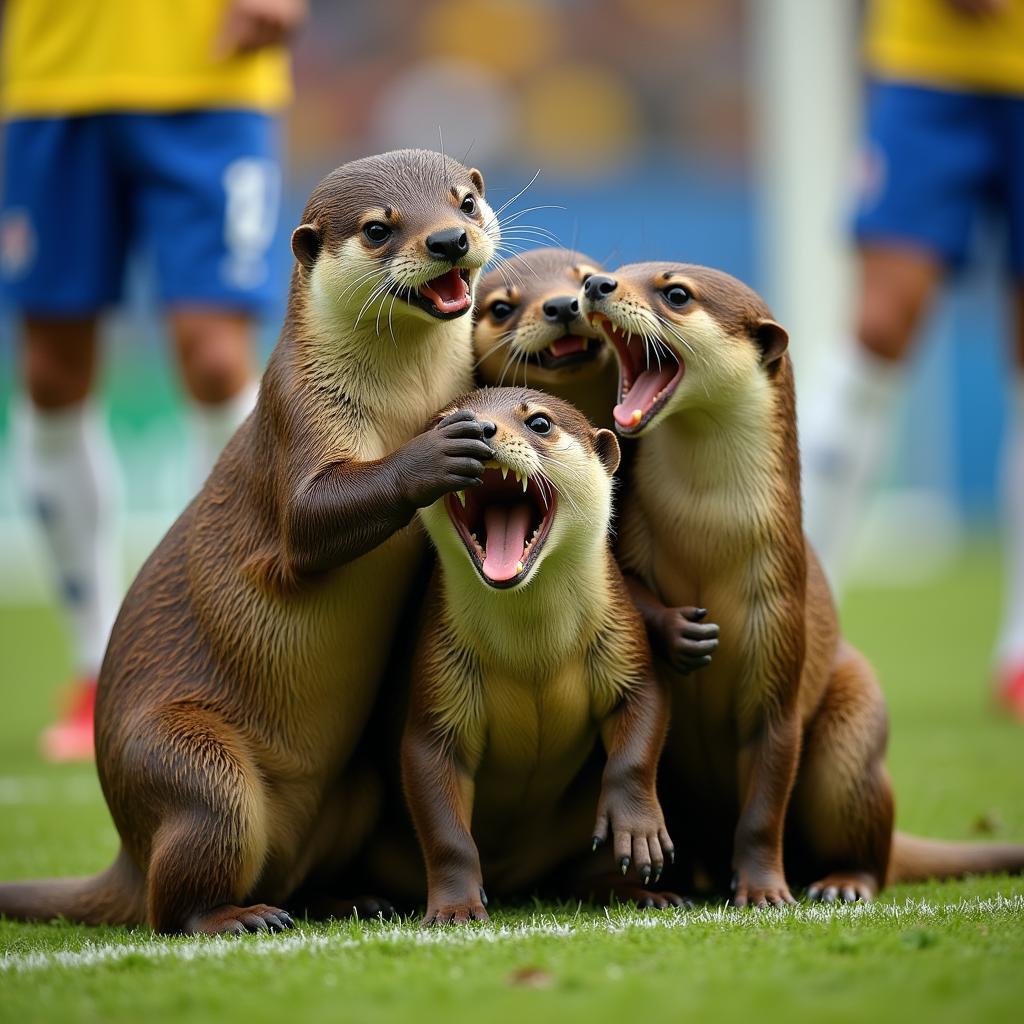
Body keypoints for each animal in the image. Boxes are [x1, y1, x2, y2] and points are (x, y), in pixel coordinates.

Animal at [0, 151, 503, 937]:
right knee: (169, 902)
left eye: (466, 201)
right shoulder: (299, 414)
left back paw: (350, 898)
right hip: (196, 772)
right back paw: (234, 918)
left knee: (294, 872)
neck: (407, 401)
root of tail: (128, 846)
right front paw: (435, 452)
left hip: (354, 789)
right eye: (379, 228)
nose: (449, 239)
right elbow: (310, 520)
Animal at [401, 387, 679, 925]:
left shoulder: (623, 642)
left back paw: (639, 893)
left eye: (541, 423)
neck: (533, 653)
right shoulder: (438, 685)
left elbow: (640, 722)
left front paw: (638, 828)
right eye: (446, 422)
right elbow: (445, 829)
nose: (481, 429)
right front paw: (455, 906)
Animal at [581, 262, 1024, 905]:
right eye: (617, 270)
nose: (595, 285)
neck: (706, 536)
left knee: (871, 849)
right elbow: (630, 589)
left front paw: (764, 890)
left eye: (676, 293)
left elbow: (765, 805)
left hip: (852, 740)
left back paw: (842, 883)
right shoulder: (631, 539)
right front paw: (682, 632)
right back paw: (653, 891)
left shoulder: (781, 627)